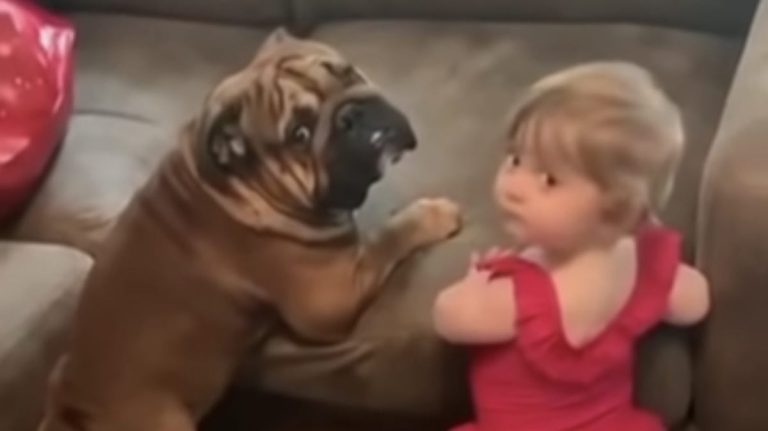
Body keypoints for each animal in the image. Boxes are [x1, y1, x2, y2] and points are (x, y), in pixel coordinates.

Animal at [37, 30, 462, 431]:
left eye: (347, 73)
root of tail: (74, 406)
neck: (247, 184)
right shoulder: (330, 300)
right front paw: (433, 214)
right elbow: (384, 240)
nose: (352, 115)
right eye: (300, 135)